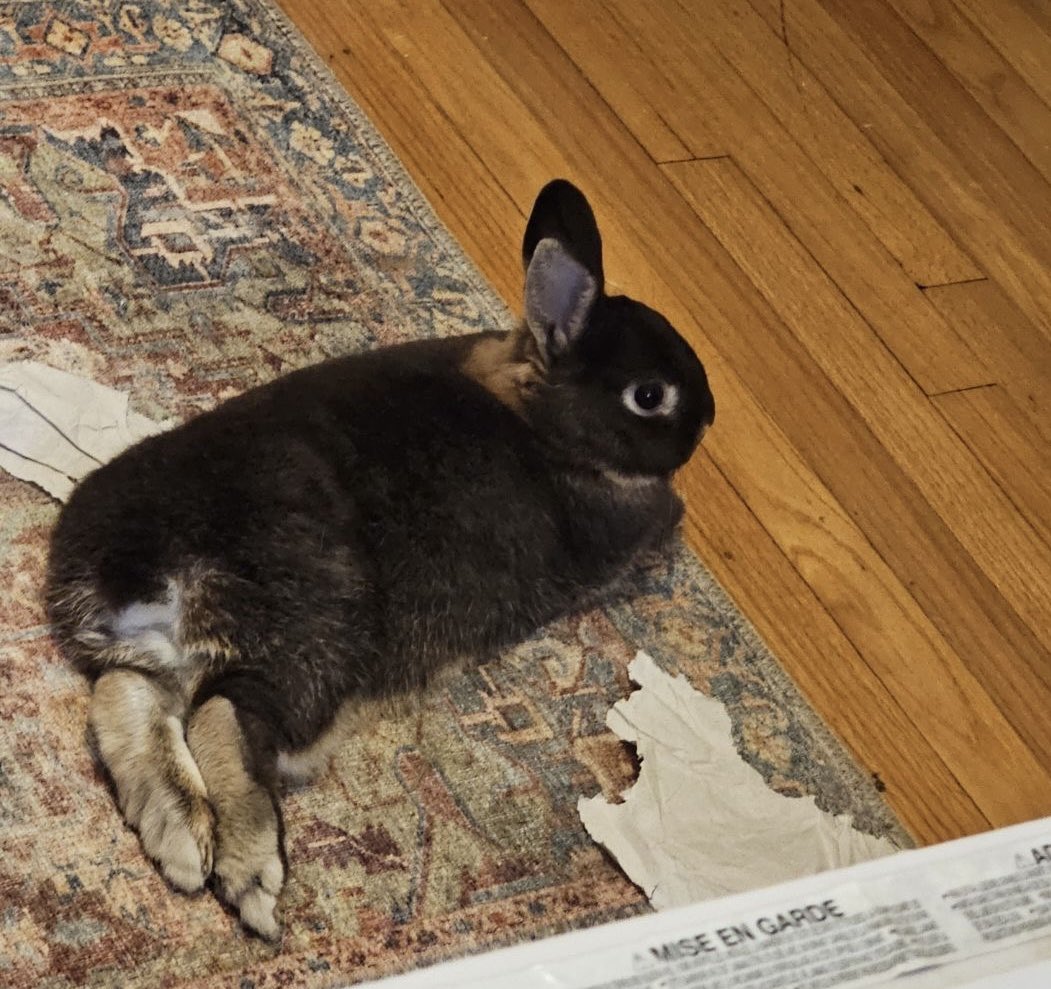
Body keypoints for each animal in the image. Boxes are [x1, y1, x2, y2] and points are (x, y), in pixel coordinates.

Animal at [45, 179, 716, 940]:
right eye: (649, 396)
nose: (708, 420)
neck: (538, 408)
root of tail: (148, 571)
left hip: (173, 654)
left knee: (125, 694)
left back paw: (181, 843)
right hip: (318, 635)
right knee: (226, 717)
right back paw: (253, 880)